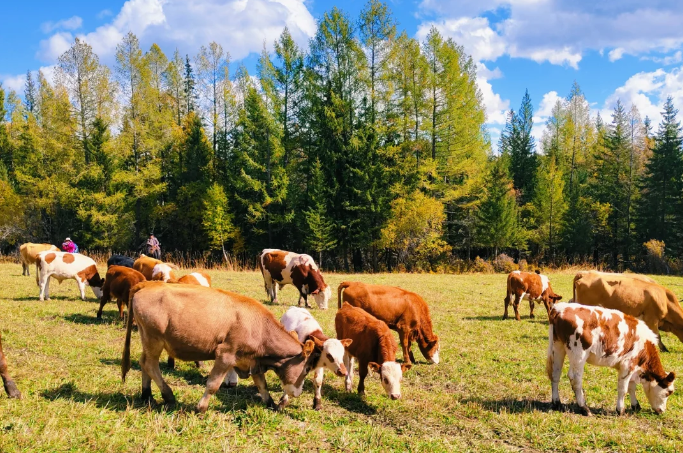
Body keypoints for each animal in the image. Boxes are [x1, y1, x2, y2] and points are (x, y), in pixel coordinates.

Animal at [122, 282, 316, 413]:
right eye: (306, 369)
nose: (298, 393)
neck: (260, 327)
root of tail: (147, 284)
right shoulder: (225, 354)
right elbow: (213, 384)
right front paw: (201, 407)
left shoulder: (253, 360)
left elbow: (262, 385)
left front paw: (271, 404)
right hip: (154, 338)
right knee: (150, 364)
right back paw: (168, 395)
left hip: (148, 339)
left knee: (144, 362)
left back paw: (147, 395)